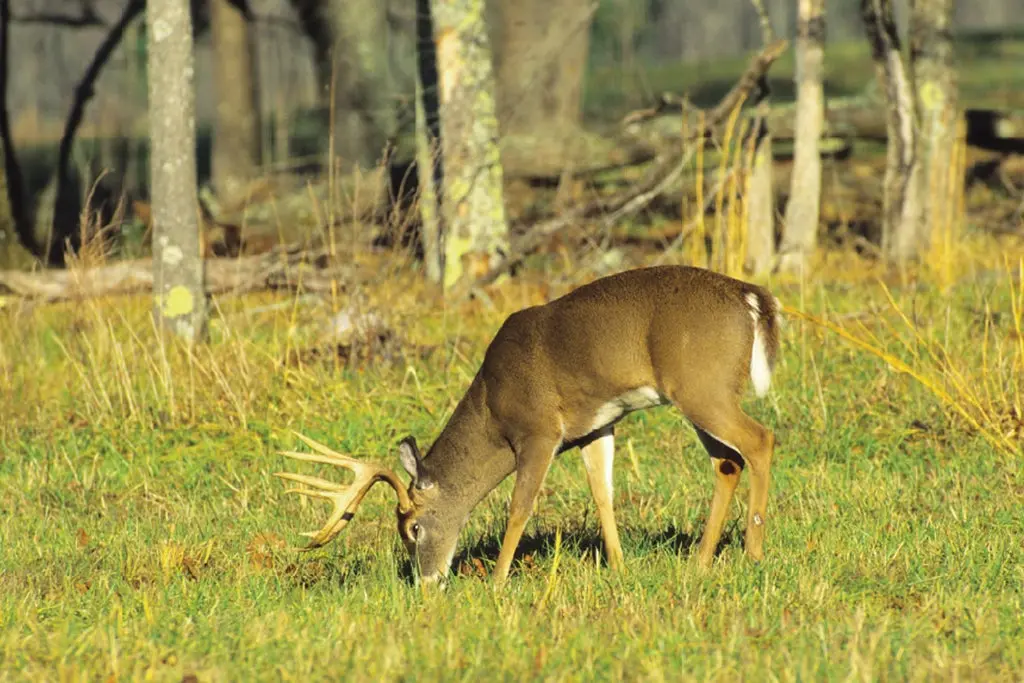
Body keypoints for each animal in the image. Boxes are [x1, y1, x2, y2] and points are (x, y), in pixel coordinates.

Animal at [276, 264, 778, 585]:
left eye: (413, 528)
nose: (427, 582)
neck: (491, 407)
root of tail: (751, 297)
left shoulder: (538, 430)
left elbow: (519, 506)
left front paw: (498, 581)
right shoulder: (596, 425)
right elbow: (603, 494)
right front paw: (618, 567)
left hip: (701, 385)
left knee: (760, 440)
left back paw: (753, 552)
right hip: (701, 394)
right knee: (727, 462)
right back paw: (701, 561)